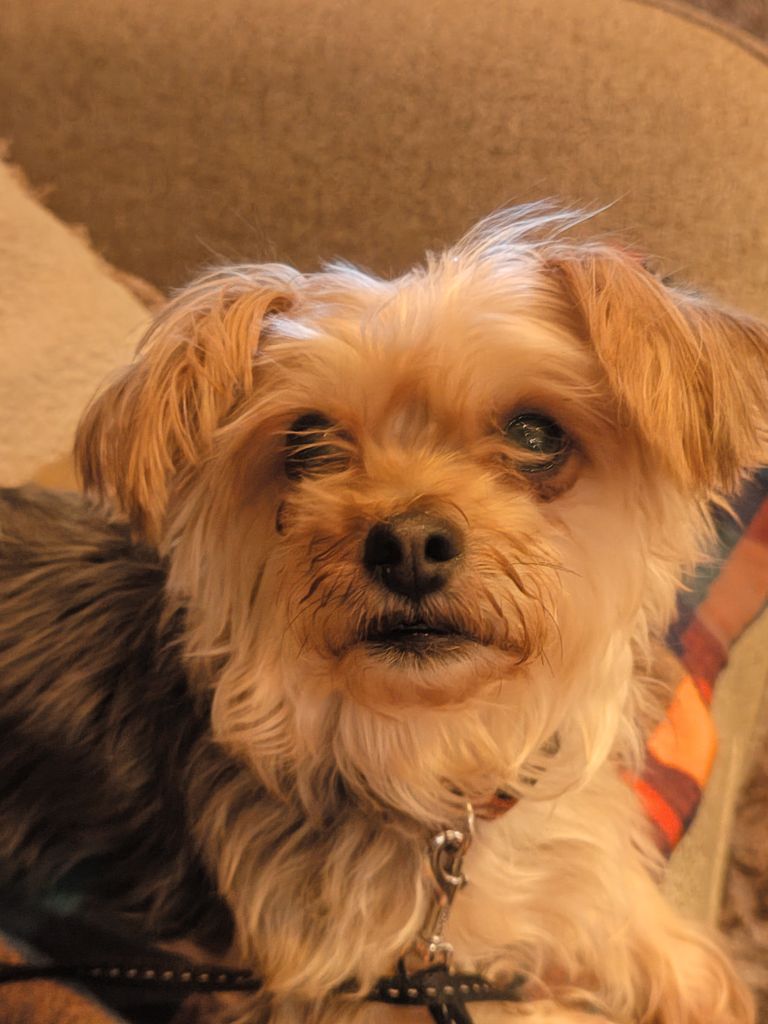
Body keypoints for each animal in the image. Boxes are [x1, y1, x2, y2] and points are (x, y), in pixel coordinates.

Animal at [1, 205, 766, 1023]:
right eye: (306, 442)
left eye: (537, 435)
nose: (407, 544)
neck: (434, 762)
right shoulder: (345, 989)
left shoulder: (570, 874)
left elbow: (667, 946)